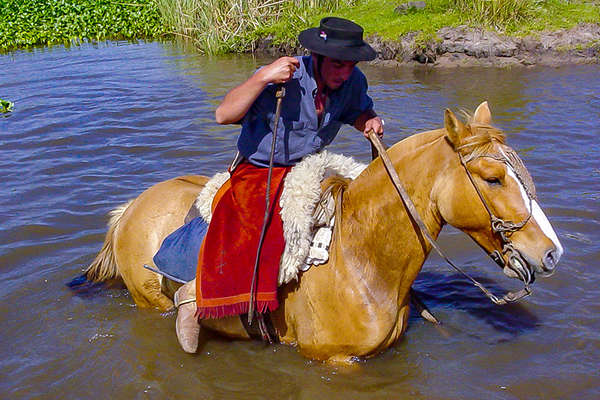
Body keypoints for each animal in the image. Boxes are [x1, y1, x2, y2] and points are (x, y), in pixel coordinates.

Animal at [79, 102, 564, 362]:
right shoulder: (336, 359)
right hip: (151, 301)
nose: (551, 253)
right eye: (493, 179)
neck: (361, 259)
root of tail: (130, 209)